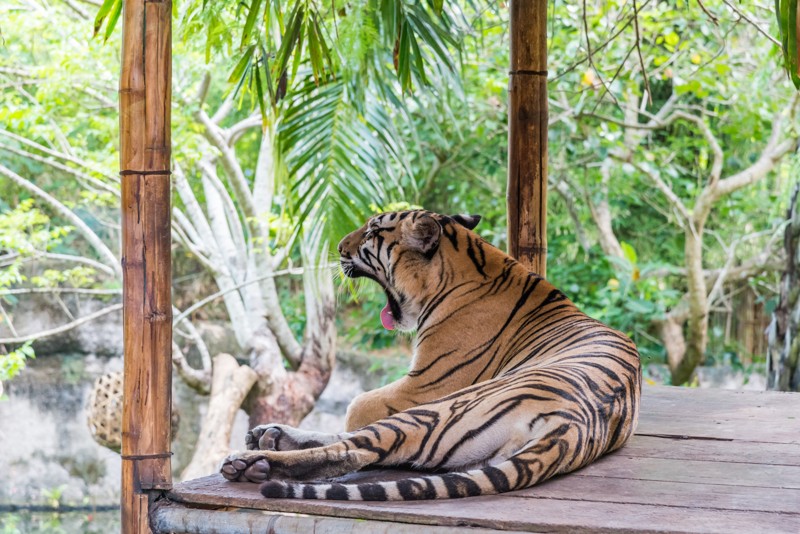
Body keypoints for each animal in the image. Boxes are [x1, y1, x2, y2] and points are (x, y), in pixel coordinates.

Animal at [220, 210, 644, 502]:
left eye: (372, 232)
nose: (339, 247)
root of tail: (572, 427)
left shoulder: (423, 385)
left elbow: (356, 407)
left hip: (437, 410)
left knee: (356, 448)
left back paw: (252, 462)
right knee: (364, 451)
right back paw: (269, 436)